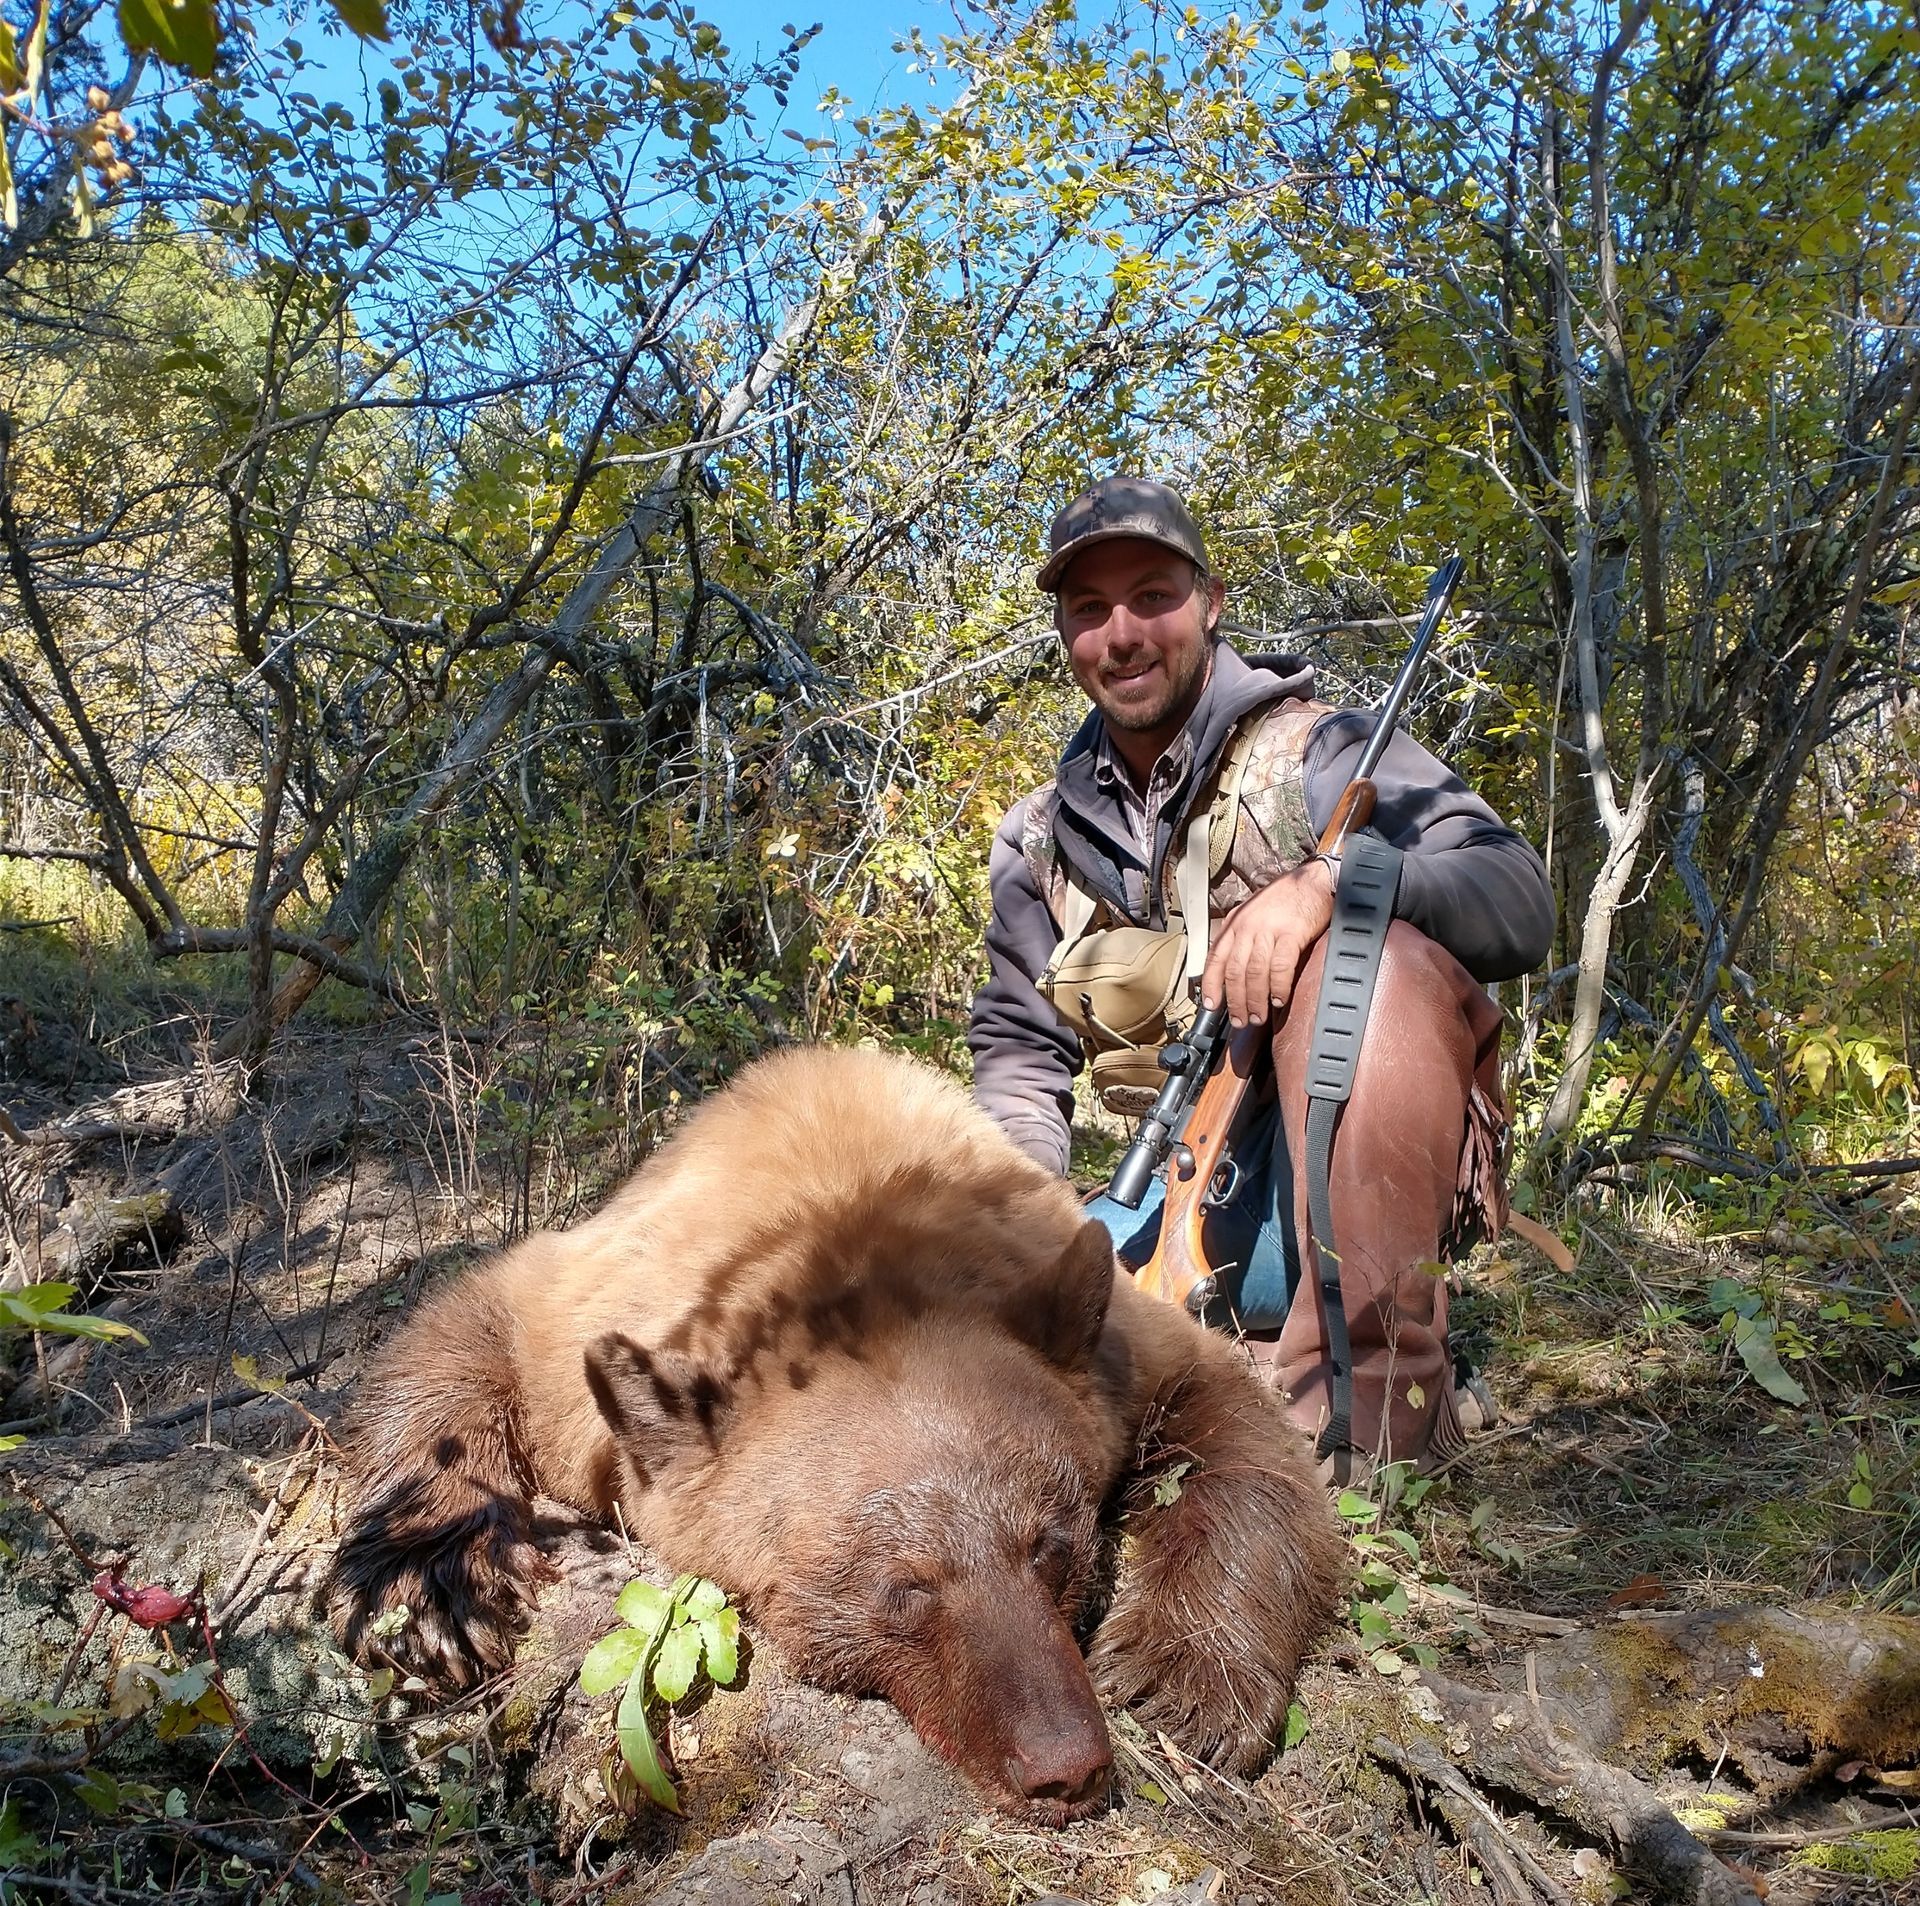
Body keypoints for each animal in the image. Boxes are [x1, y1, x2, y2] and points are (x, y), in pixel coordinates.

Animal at [330, 1045, 1343, 1822]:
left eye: (1055, 1544)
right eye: (904, 1590)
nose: (1067, 1768)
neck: (836, 1239)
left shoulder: (1103, 1327)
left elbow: (1237, 1421)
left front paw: (1183, 1676)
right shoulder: (593, 1306)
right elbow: (473, 1322)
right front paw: (429, 1590)